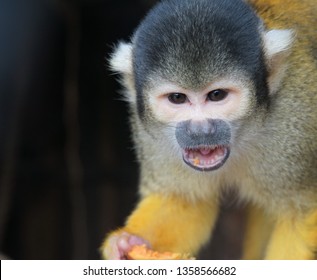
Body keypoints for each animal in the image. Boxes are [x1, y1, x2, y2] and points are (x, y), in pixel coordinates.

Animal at [100, 0, 316, 260]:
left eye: (216, 95)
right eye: (177, 98)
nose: (200, 130)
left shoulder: (299, 119)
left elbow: (300, 215)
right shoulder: (147, 130)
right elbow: (183, 199)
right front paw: (125, 242)